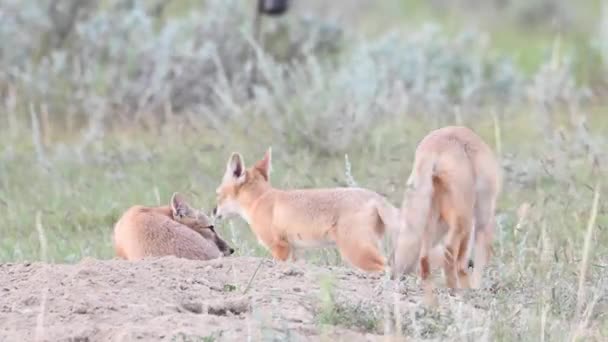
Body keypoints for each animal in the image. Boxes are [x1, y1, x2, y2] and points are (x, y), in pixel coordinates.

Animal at [213, 148, 400, 272]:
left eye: (218, 194)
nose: (213, 212)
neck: (261, 199)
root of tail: (374, 195)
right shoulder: (294, 251)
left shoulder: (279, 247)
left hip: (356, 251)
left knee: (386, 267)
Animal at [392, 126, 502, 302]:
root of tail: (436, 145)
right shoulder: (482, 218)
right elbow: (476, 261)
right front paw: (475, 289)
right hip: (464, 220)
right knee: (451, 254)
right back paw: (456, 289)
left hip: (424, 219)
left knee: (423, 258)